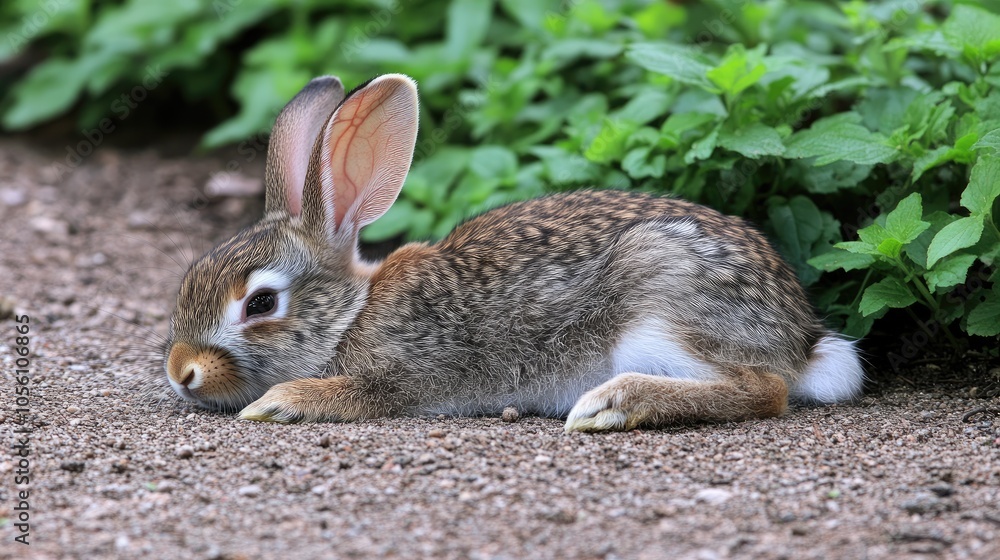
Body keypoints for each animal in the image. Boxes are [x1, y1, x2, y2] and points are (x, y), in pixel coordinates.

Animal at [164, 73, 865, 432]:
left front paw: (278, 402)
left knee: (764, 391)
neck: (351, 316)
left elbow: (357, 395)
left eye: (260, 304)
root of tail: (798, 339)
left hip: (657, 308)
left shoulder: (405, 375)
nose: (181, 373)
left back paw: (612, 404)